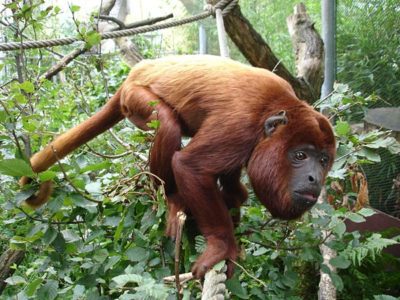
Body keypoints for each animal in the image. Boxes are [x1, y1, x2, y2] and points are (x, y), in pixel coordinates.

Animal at [20, 54, 336, 278]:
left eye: (323, 160)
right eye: (299, 156)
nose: (314, 179)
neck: (276, 109)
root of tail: (134, 73)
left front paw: (234, 198)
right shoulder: (241, 125)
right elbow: (189, 166)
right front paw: (222, 246)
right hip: (136, 98)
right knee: (167, 123)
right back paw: (172, 199)